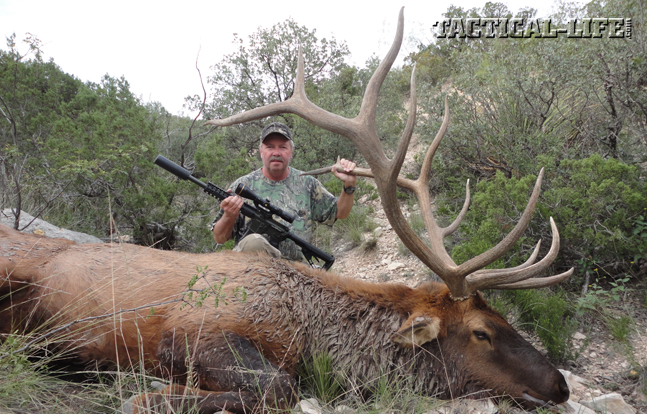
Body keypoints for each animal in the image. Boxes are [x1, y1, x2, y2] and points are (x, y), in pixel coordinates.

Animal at [1, 8, 573, 414]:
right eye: (482, 331)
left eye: (503, 318)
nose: (560, 384)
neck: (308, 330)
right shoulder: (192, 327)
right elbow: (280, 387)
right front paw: (147, 396)